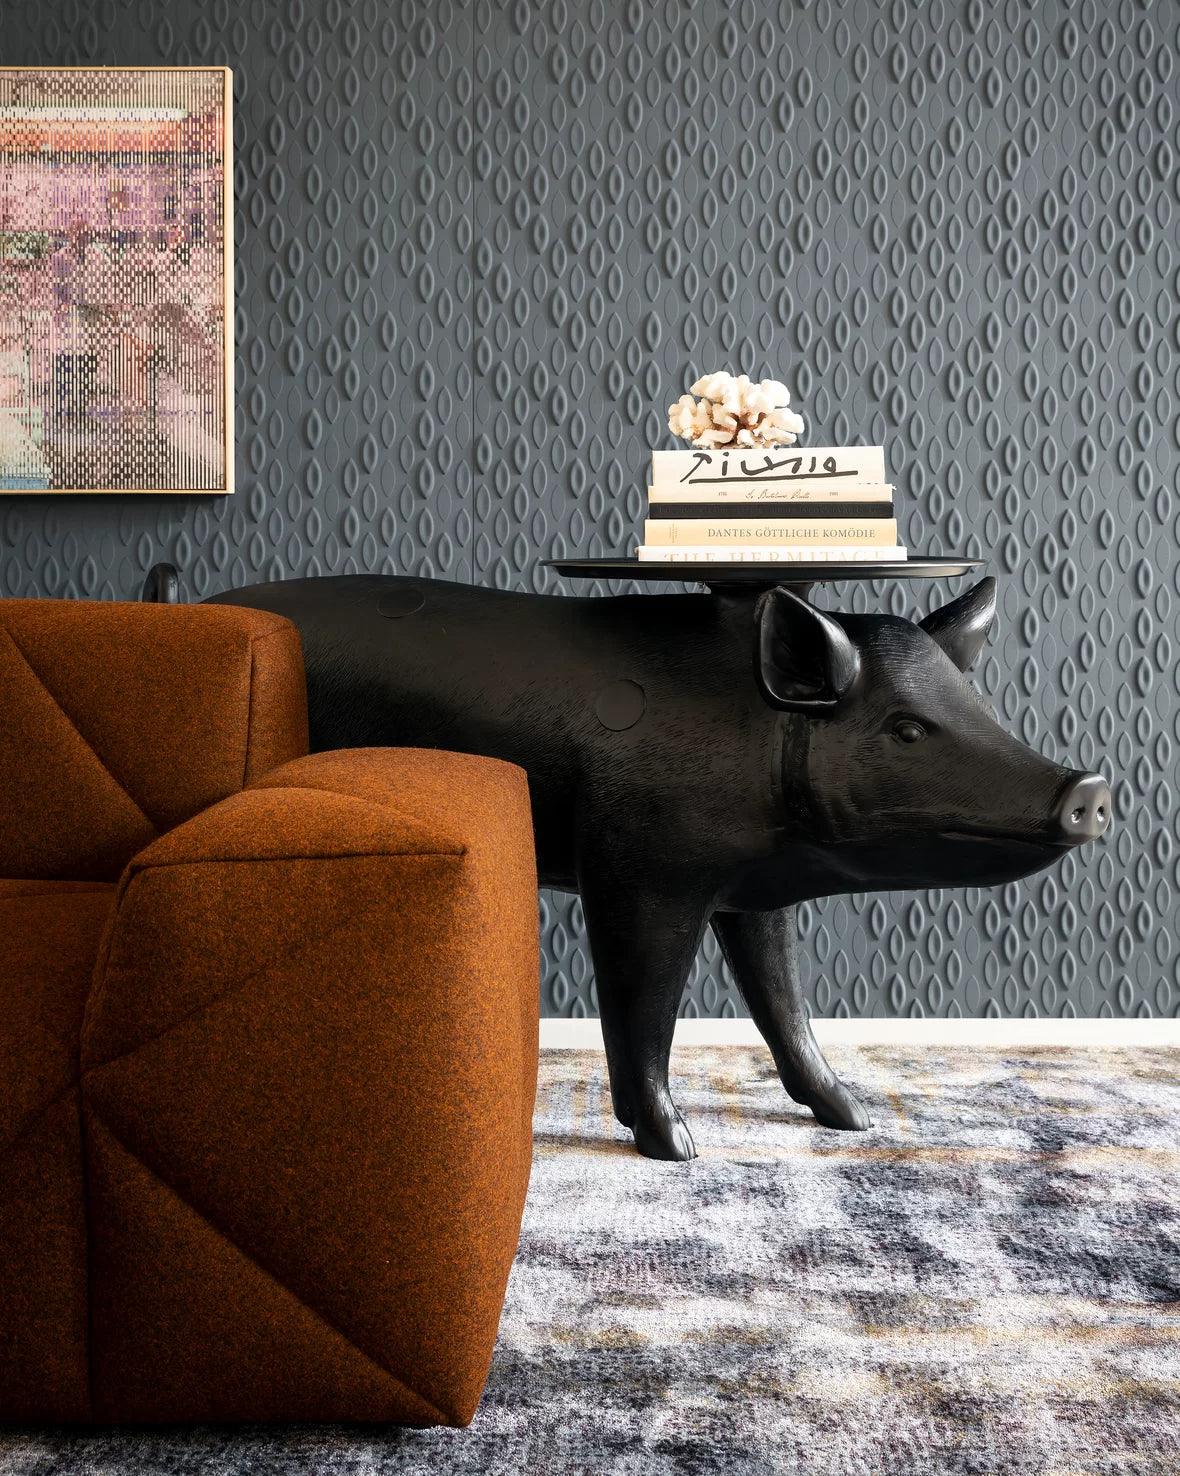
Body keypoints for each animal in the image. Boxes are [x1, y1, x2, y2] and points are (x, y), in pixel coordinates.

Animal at [197, 571, 1110, 1161]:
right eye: (907, 728)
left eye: (975, 707)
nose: (1088, 785)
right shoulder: (636, 871)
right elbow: (646, 1003)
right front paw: (679, 1148)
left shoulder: (750, 893)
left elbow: (781, 1002)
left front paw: (851, 1119)